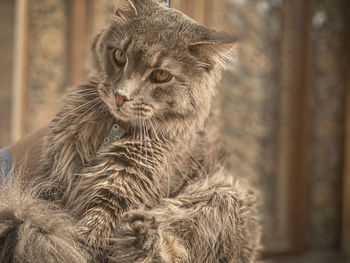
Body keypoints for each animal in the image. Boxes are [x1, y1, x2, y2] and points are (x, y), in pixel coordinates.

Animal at [0, 0, 260, 262]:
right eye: (119, 56)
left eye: (161, 75)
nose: (121, 96)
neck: (113, 129)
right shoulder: (53, 178)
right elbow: (48, 213)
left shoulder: (117, 197)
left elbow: (84, 242)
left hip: (223, 194)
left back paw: (143, 235)